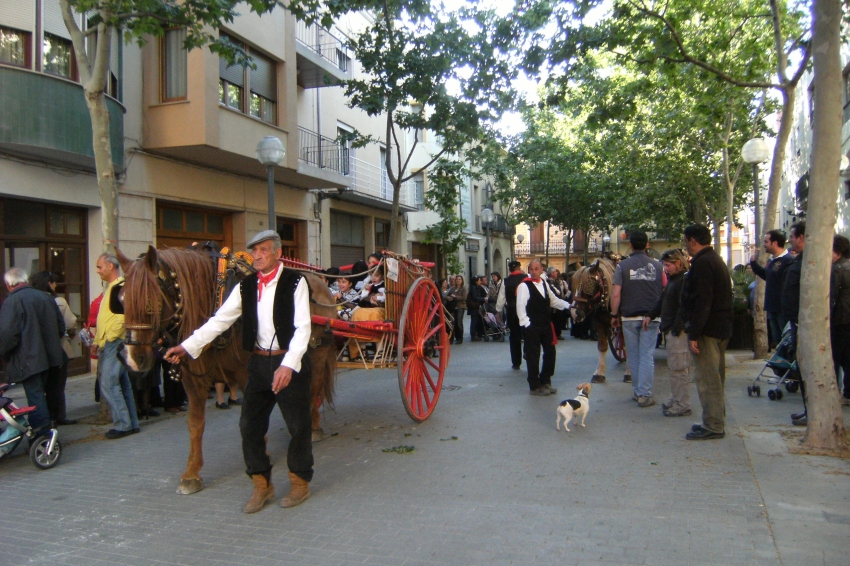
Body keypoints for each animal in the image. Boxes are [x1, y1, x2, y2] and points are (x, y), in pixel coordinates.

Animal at [116, 246, 334, 494]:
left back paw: (313, 428)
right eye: (121, 300)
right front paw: (191, 473)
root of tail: (320, 284)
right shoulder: (193, 381)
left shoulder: (247, 374)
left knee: (313, 390)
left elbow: (255, 418)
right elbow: (196, 424)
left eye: (150, 300)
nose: (132, 358)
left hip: (317, 354)